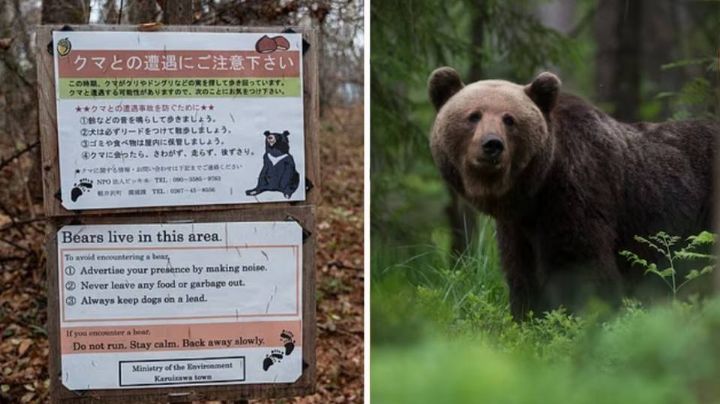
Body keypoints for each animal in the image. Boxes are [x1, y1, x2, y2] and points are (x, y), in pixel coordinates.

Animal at [428, 67, 719, 320]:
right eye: (474, 115)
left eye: (509, 119)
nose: (492, 145)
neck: (534, 190)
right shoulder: (518, 227)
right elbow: (521, 272)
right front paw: (527, 318)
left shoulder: (576, 190)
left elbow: (579, 265)